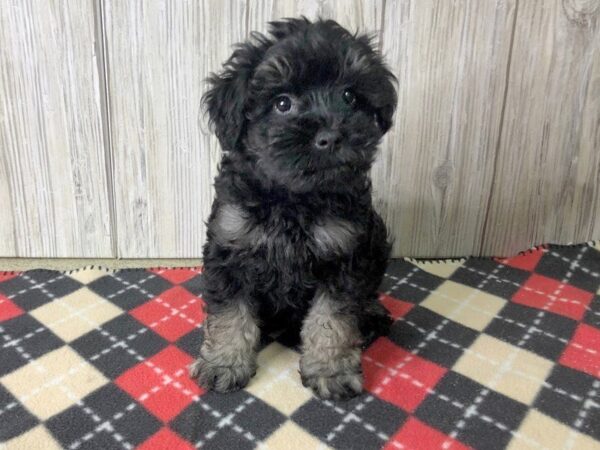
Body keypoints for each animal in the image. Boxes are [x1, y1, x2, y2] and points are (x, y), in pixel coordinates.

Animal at [191, 16, 398, 400]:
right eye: (282, 103)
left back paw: (372, 314)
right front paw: (223, 364)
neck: (292, 199)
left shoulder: (345, 253)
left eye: (349, 96)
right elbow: (229, 314)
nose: (330, 137)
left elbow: (332, 320)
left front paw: (331, 370)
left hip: (376, 238)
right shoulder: (230, 243)